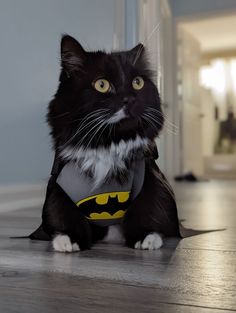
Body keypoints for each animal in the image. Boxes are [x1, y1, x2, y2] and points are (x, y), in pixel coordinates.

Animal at [30, 34, 181, 251]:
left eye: (137, 83)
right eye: (101, 85)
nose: (129, 99)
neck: (107, 143)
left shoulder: (149, 179)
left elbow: (146, 208)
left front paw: (146, 238)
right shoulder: (59, 185)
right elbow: (63, 212)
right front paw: (68, 240)